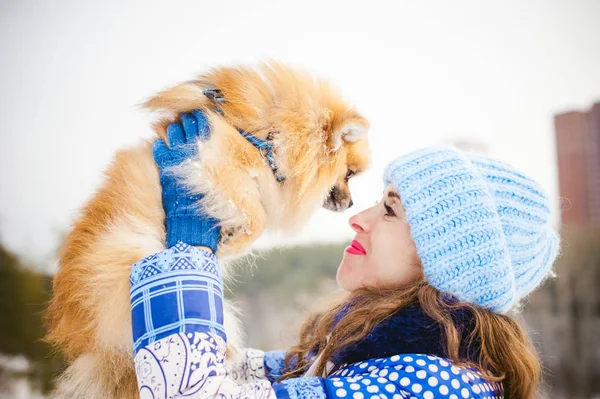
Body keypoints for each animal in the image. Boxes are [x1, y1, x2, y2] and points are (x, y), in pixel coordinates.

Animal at [45, 61, 370, 396]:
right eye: (349, 175)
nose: (351, 204)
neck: (266, 138)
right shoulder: (212, 162)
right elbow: (257, 217)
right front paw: (230, 241)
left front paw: (226, 238)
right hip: (128, 250)